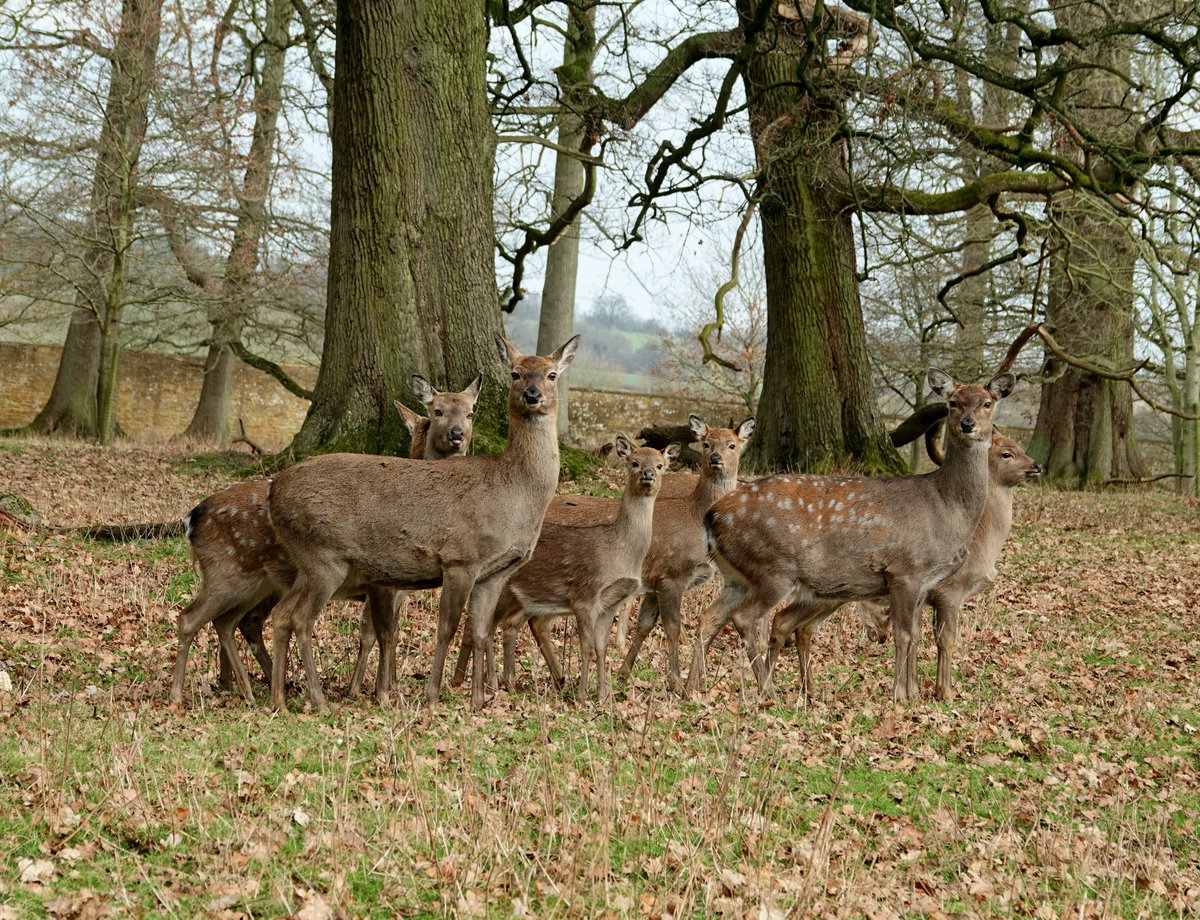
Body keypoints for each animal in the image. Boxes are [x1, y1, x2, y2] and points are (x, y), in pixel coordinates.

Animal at [168, 373, 482, 707]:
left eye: (470, 412)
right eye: (437, 411)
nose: (457, 435)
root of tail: (192, 518)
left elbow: (384, 632)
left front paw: (383, 688)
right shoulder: (381, 584)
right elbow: (381, 633)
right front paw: (378, 693)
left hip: (257, 585)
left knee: (234, 622)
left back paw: (249, 688)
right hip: (229, 572)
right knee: (199, 618)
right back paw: (193, 692)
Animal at [264, 333, 579, 712]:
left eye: (551, 374)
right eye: (515, 373)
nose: (533, 394)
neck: (514, 496)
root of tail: (273, 492)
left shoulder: (493, 572)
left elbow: (480, 630)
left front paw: (478, 699)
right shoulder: (460, 558)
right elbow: (447, 627)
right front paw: (431, 695)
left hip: (306, 563)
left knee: (281, 614)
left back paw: (279, 700)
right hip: (324, 556)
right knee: (300, 618)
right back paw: (318, 699)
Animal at [478, 437, 678, 699]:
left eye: (660, 465)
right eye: (634, 462)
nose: (647, 474)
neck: (619, 553)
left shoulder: (610, 602)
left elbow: (602, 647)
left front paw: (603, 694)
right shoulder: (585, 596)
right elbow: (587, 648)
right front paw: (583, 695)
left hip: (520, 596)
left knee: (506, 624)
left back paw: (509, 681)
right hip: (502, 588)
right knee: (487, 626)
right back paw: (492, 682)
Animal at [770, 432, 1042, 701]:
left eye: (1020, 447)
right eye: (1007, 453)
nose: (1037, 465)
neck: (982, 545)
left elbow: (916, 636)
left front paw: (917, 691)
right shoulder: (948, 591)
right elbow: (944, 639)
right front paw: (943, 692)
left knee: (799, 626)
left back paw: (809, 690)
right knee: (788, 621)